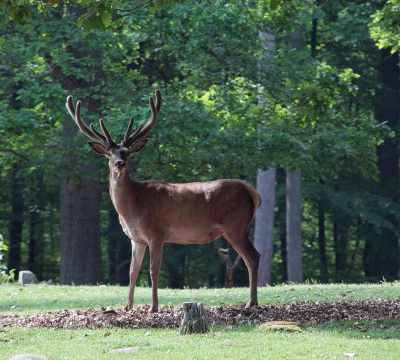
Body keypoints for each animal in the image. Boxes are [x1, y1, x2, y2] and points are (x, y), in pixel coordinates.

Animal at [65, 89, 262, 312]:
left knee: (253, 257)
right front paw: (127, 306)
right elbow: (133, 271)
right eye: (109, 153)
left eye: (127, 152)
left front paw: (153, 307)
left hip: (235, 226)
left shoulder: (156, 233)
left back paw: (252, 302)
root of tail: (253, 192)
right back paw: (251, 301)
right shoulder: (136, 238)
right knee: (248, 258)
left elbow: (153, 270)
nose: (120, 163)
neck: (133, 206)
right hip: (234, 228)